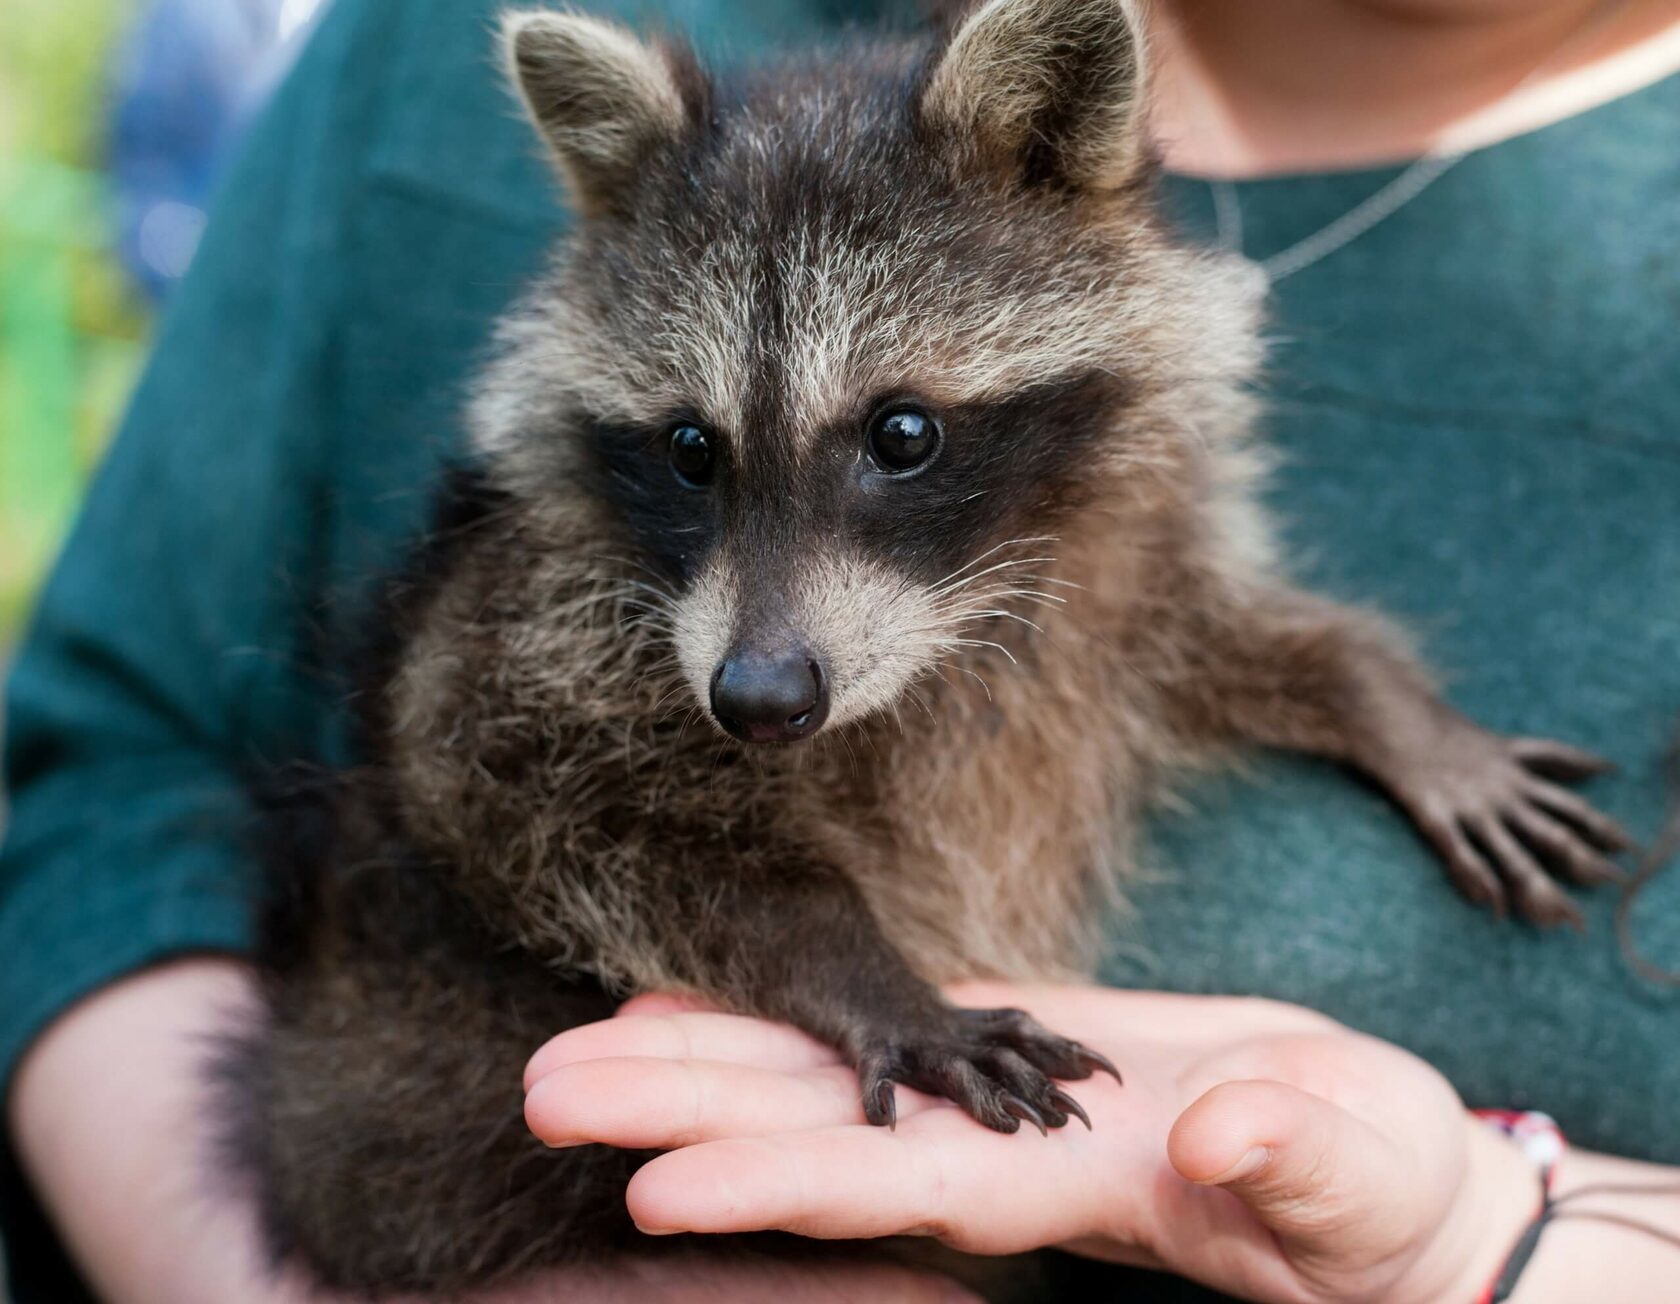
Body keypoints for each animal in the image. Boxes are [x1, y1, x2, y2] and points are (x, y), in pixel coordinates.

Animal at [223, 0, 1626, 1290]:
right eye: (689, 448)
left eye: (902, 433)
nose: (759, 697)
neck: (949, 619)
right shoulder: (530, 616)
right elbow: (502, 786)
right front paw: (868, 973)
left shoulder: (1124, 557)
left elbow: (1221, 627)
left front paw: (1397, 711)